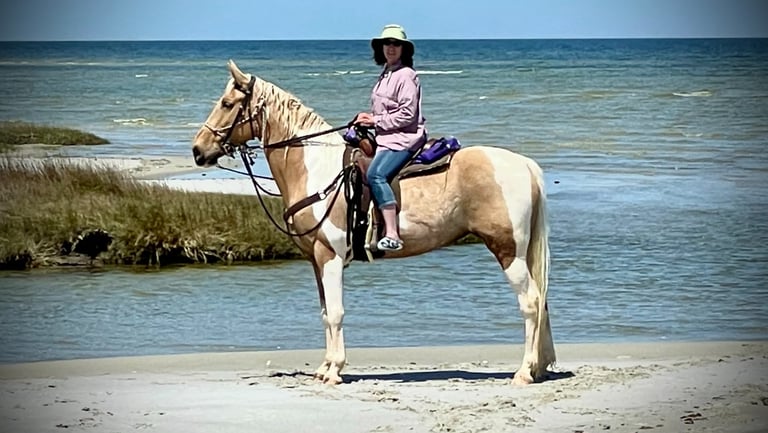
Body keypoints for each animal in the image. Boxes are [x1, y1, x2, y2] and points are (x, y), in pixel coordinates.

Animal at [192, 60, 556, 385]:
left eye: (227, 104)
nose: (197, 150)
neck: (316, 170)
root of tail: (524, 164)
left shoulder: (330, 256)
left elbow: (336, 312)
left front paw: (335, 371)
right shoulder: (315, 259)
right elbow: (325, 313)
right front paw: (324, 368)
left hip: (508, 251)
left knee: (530, 303)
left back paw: (523, 372)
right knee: (541, 301)